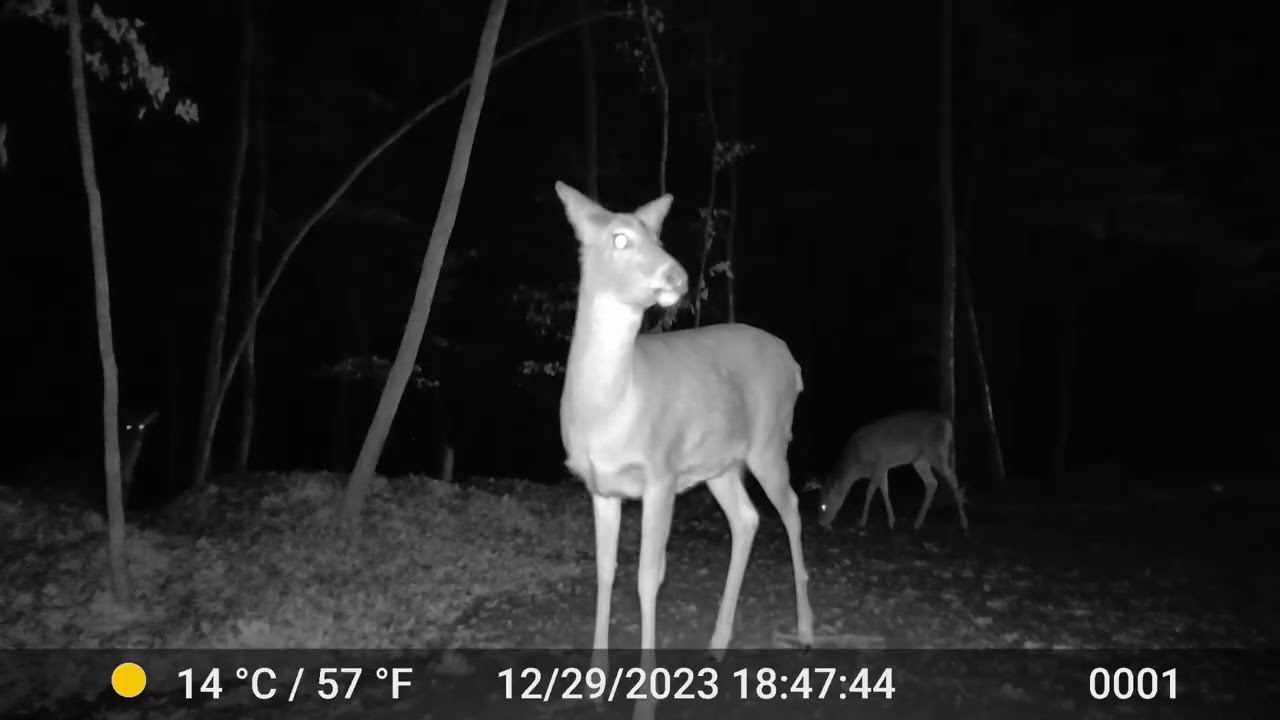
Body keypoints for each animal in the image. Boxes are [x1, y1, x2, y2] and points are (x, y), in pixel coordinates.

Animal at [553, 181, 814, 717]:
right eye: (619, 238)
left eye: (657, 234)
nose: (676, 275)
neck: (610, 411)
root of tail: (793, 363)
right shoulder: (600, 487)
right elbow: (606, 570)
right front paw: (593, 684)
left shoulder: (661, 474)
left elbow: (648, 576)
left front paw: (645, 700)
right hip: (719, 464)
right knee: (747, 519)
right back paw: (717, 642)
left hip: (769, 440)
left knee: (793, 509)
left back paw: (805, 631)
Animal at [805, 410, 970, 533]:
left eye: (823, 505)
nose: (821, 523)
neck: (857, 466)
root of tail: (948, 424)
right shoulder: (883, 467)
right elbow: (884, 490)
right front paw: (891, 521)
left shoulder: (879, 463)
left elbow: (870, 491)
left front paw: (862, 522)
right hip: (920, 460)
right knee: (932, 483)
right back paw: (917, 523)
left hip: (936, 452)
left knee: (952, 477)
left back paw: (964, 523)